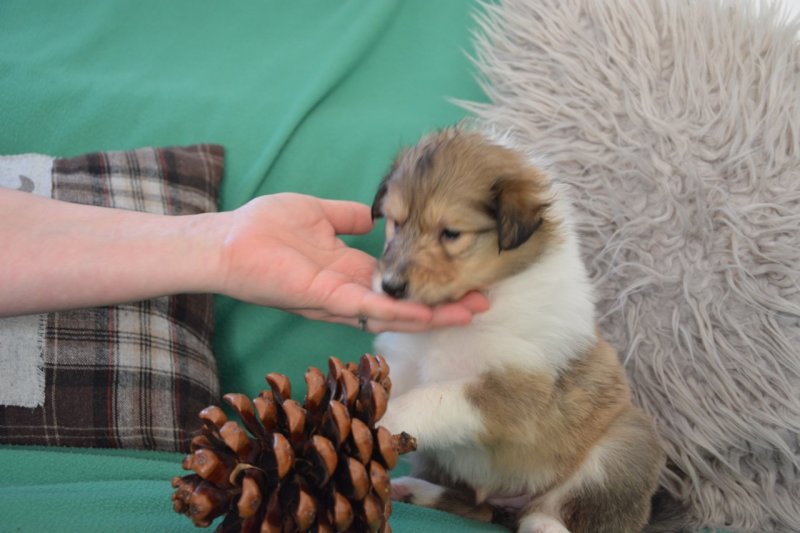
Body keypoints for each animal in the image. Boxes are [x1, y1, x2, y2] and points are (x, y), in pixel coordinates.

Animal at [370, 127, 666, 533]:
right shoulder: (404, 361)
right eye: (396, 223)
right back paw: (413, 490)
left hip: (625, 445)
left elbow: (435, 396)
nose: (390, 287)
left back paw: (544, 525)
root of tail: (507, 500)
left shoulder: (516, 390)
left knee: (553, 508)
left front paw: (386, 417)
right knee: (472, 504)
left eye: (451, 233)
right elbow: (395, 385)